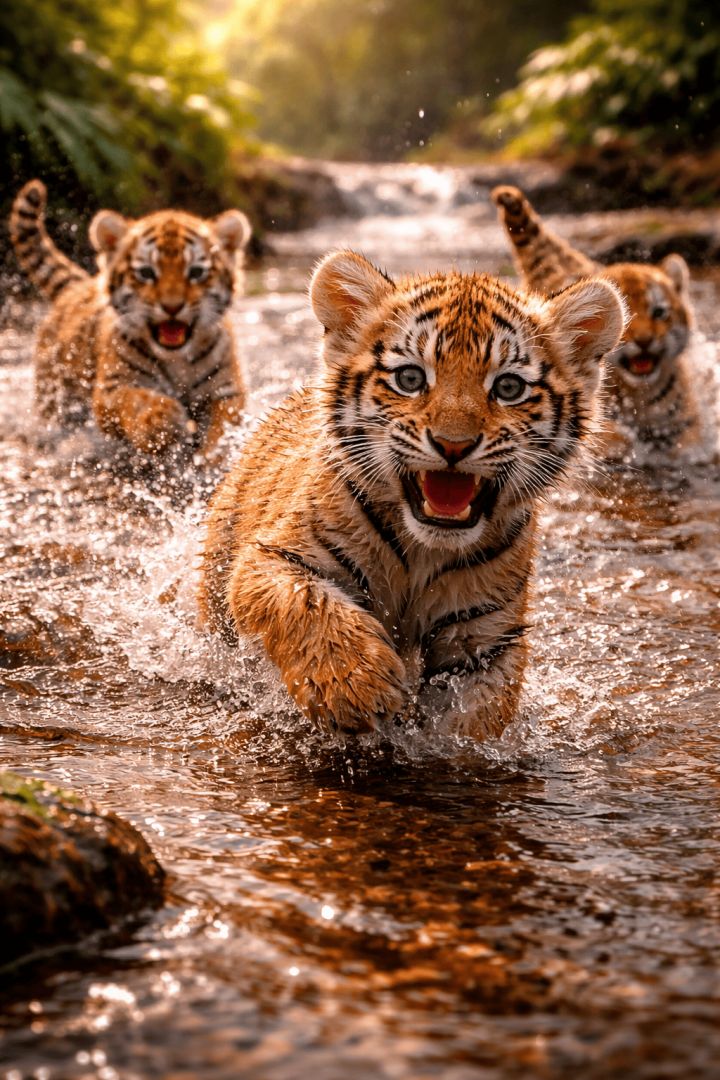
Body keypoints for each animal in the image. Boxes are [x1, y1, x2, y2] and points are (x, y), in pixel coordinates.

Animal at [10, 179, 251, 458]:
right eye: (146, 273)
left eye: (196, 272)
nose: (172, 307)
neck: (178, 360)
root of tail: (79, 285)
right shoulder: (111, 388)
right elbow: (136, 400)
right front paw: (162, 421)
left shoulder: (226, 388)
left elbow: (226, 421)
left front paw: (215, 455)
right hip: (55, 399)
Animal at [199, 250, 626, 740]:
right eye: (409, 378)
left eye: (509, 387)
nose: (454, 445)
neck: (424, 552)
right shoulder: (273, 557)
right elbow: (308, 604)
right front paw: (356, 686)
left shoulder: (485, 636)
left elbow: (479, 712)